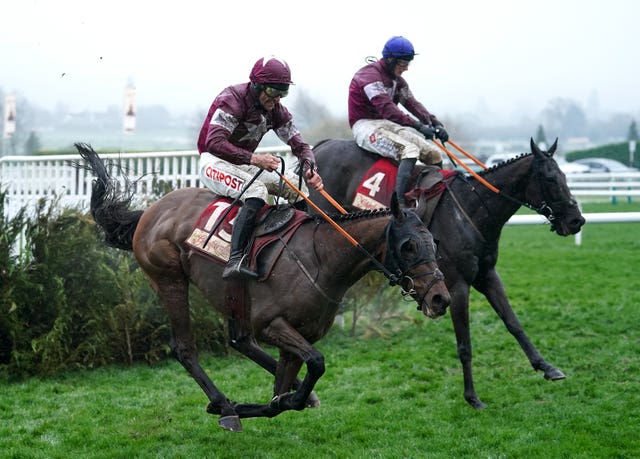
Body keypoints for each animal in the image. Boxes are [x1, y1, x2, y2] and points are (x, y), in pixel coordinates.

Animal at [77, 143, 452, 432]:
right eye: (408, 246)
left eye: (433, 241)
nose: (440, 298)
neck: (322, 257)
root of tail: (148, 213)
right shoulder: (274, 324)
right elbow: (313, 366)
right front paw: (234, 408)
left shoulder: (299, 334)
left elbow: (288, 391)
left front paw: (289, 395)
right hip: (169, 278)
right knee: (184, 347)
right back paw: (222, 402)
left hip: (229, 295)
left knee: (240, 339)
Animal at [308, 137, 588, 410]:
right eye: (550, 179)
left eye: (564, 175)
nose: (577, 220)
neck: (469, 211)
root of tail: (321, 146)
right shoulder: (457, 285)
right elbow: (464, 344)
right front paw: (472, 396)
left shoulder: (487, 275)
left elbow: (513, 323)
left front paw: (547, 367)